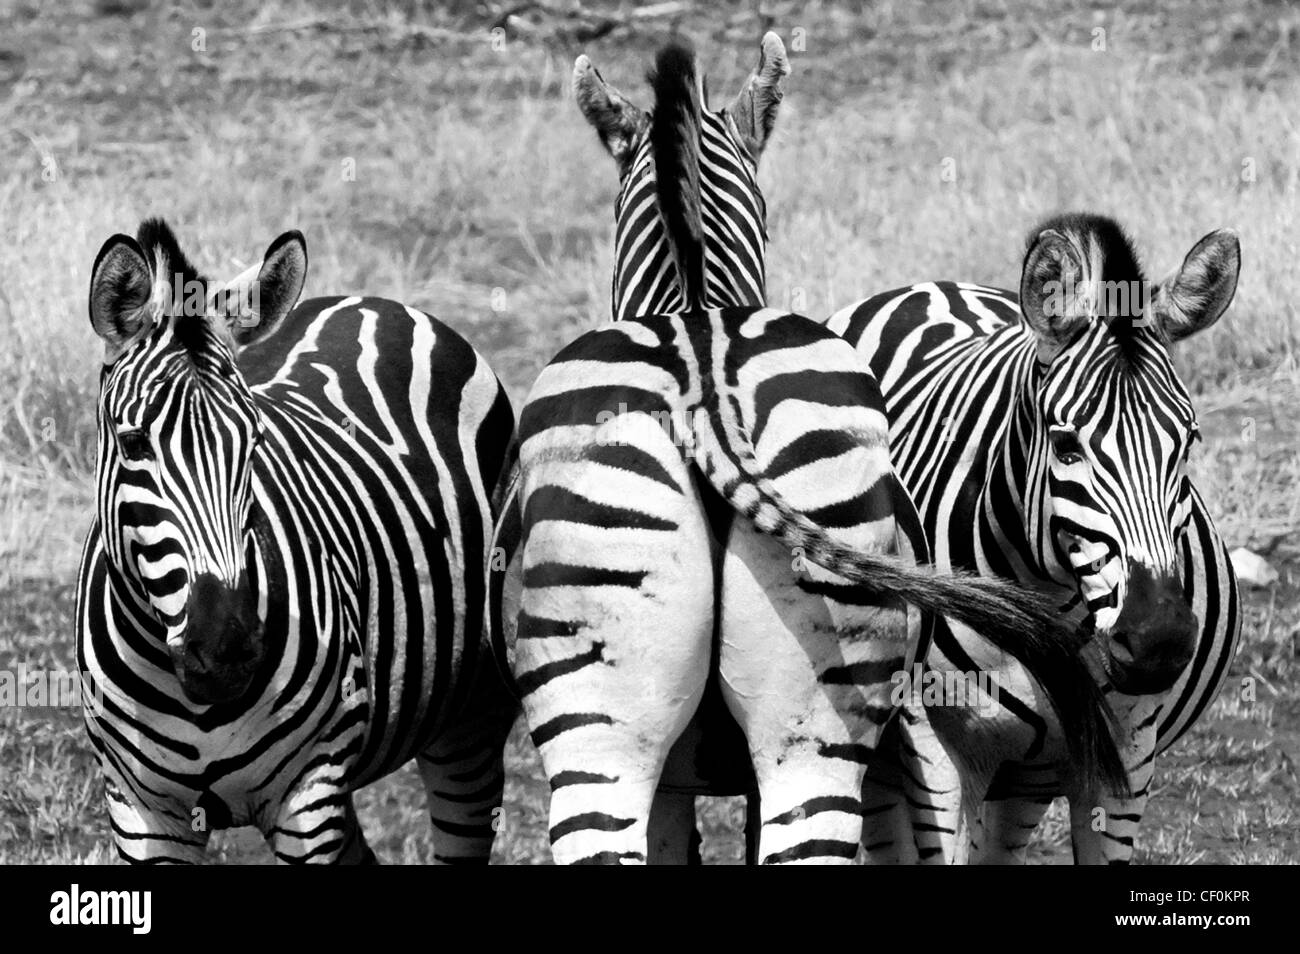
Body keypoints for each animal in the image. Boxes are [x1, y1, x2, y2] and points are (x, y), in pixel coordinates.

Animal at [77, 220, 517, 863]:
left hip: (470, 719)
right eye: (134, 444)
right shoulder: (138, 810)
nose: (228, 653)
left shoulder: (309, 796)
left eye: (255, 440)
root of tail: (372, 302)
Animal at [826, 214, 1242, 868]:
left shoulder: (1127, 758)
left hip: (1030, 771)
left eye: (1188, 442)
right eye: (1066, 446)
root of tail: (933, 285)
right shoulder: (935, 752)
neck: (1050, 600)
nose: (1158, 643)